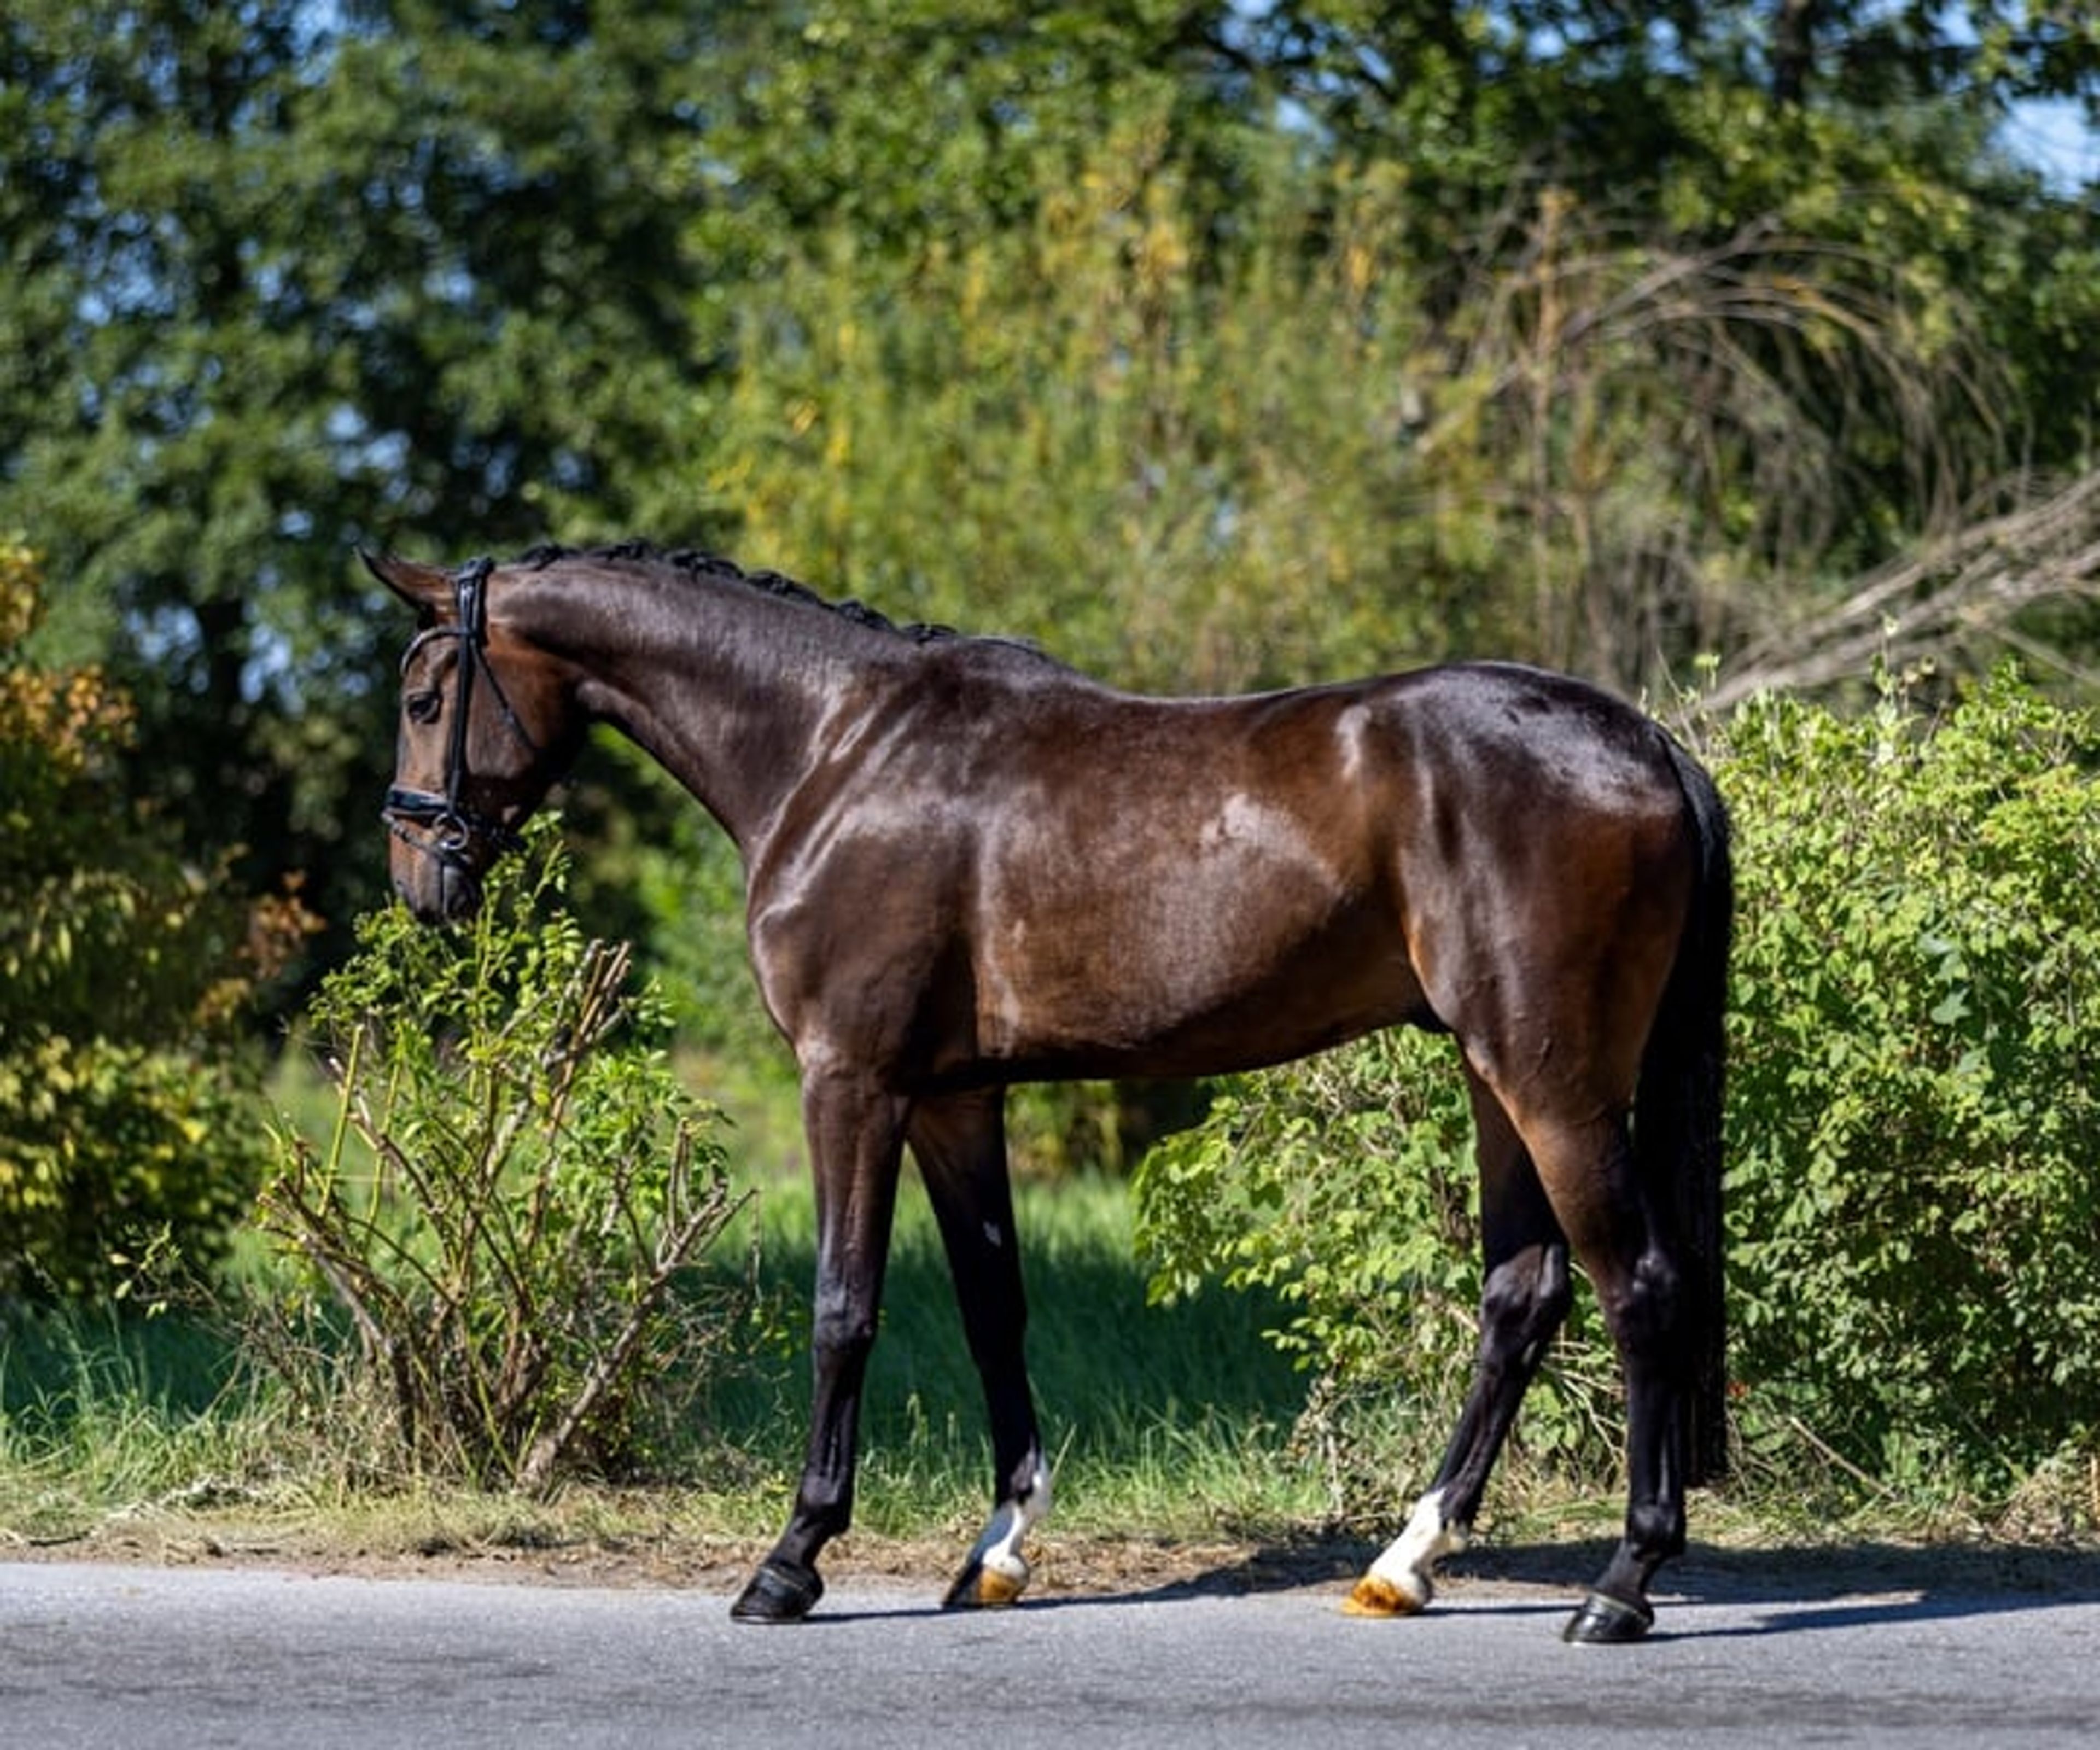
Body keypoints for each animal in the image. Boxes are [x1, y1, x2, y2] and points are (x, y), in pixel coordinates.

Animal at [368, 539, 1732, 1643]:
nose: (418, 879)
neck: (835, 750)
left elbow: (842, 1309)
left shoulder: (851, 1079)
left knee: (1640, 1286)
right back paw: (1409, 1559)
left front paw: (791, 1561)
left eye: (427, 696)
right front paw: (998, 1547)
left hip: (1549, 1076)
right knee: (1524, 1294)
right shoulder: (956, 1098)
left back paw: (1622, 1584)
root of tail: (1648, 743)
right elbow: (993, 1310)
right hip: (1497, 1075)